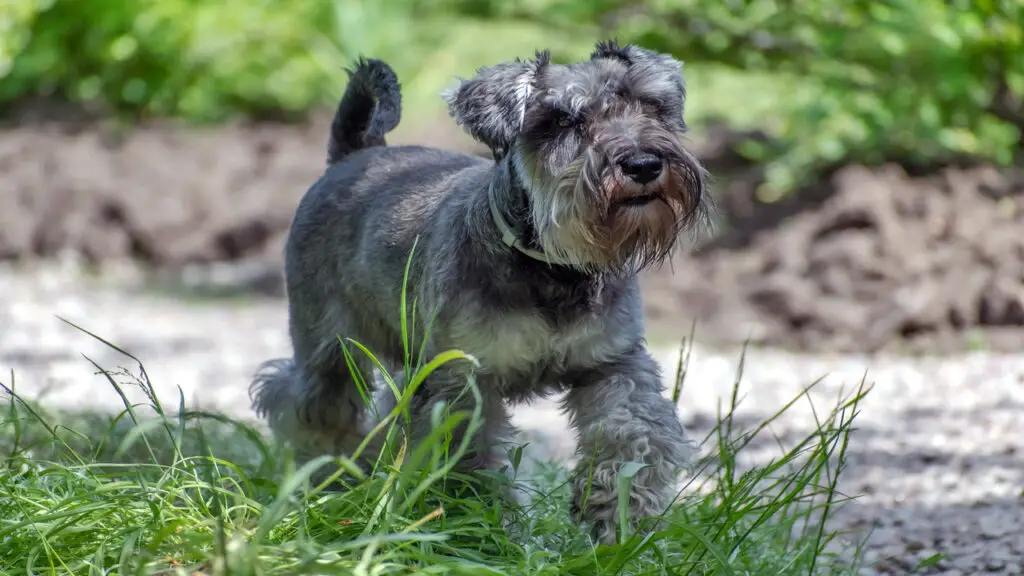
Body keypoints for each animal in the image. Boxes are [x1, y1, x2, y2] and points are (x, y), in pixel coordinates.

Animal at [251, 40, 708, 541]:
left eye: (653, 106)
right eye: (564, 120)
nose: (643, 164)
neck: (552, 265)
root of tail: (352, 156)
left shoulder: (612, 363)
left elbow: (635, 432)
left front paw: (617, 513)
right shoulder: (462, 379)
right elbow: (469, 458)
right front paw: (487, 529)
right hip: (330, 350)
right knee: (307, 406)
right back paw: (330, 481)